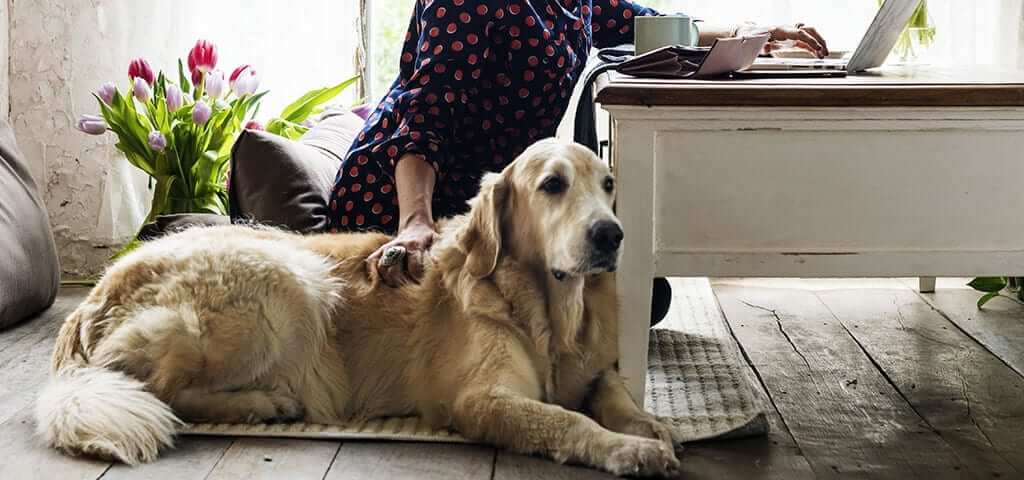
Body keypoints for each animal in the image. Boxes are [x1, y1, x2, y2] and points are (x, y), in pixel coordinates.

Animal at [36, 137, 684, 474]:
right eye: (552, 185)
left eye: (608, 186)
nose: (611, 235)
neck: (550, 310)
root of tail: (94, 295)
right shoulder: (481, 399)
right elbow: (566, 419)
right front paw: (629, 449)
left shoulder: (595, 369)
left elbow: (615, 396)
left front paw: (653, 425)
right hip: (288, 280)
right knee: (164, 392)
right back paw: (263, 403)